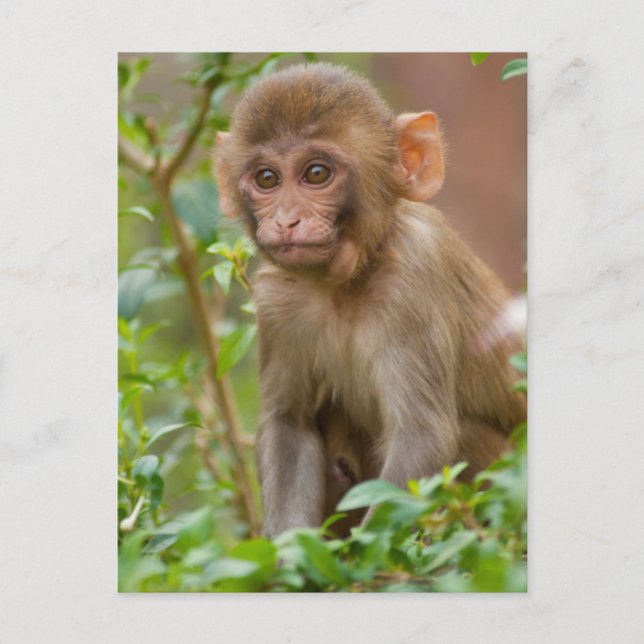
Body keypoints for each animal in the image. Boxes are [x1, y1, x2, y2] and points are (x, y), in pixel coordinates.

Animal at [214, 62, 526, 538]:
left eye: (316, 174)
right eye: (267, 179)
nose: (286, 221)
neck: (344, 283)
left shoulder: (413, 276)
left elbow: (422, 436)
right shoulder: (275, 301)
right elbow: (290, 424)